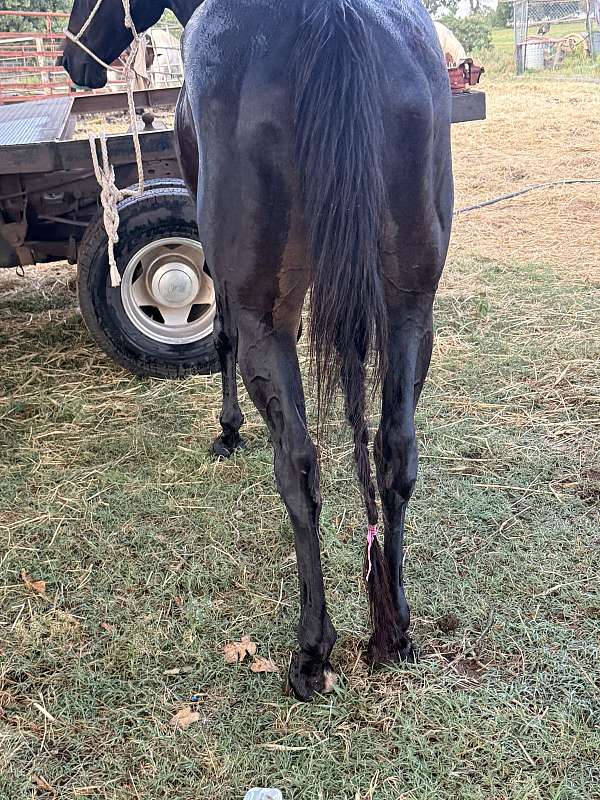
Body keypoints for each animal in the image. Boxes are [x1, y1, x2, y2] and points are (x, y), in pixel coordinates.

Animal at [61, 0, 454, 701]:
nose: (70, 60)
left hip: (265, 309)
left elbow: (217, 331)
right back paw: (394, 632)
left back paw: (312, 651)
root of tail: (335, 19)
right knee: (396, 451)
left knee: (298, 464)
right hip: (411, 310)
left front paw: (228, 430)